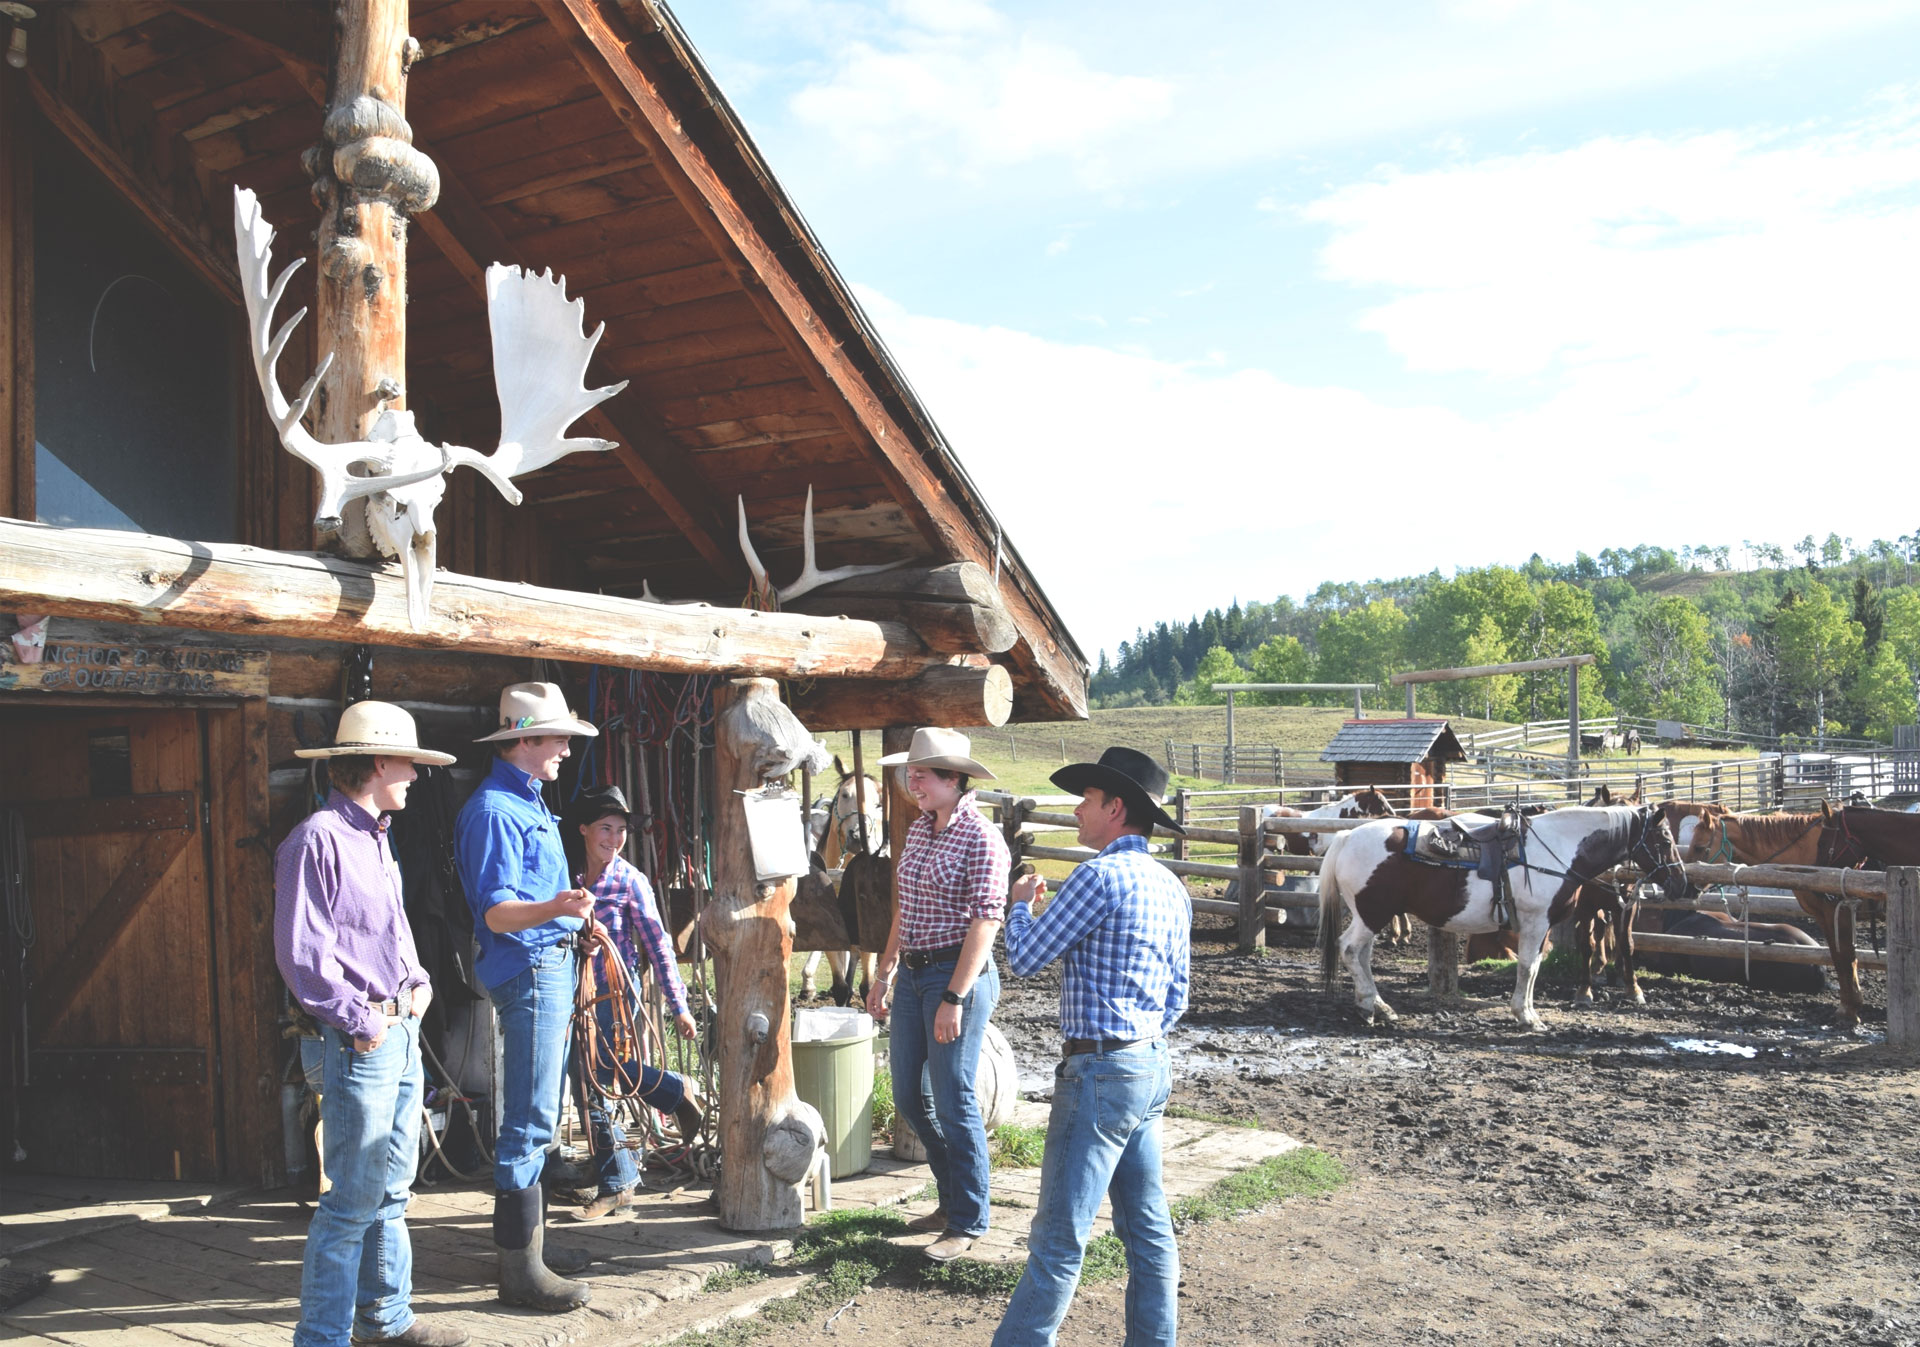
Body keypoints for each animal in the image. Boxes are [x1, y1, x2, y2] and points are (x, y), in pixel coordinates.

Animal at [1320, 802, 1697, 1036]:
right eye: (1664, 839)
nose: (1681, 883)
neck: (1556, 851)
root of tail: (1346, 837)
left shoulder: (1542, 926)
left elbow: (1534, 967)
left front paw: (1527, 1012)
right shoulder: (1535, 921)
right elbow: (1528, 967)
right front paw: (1527, 1017)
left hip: (1370, 915)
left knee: (1362, 955)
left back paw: (1376, 1006)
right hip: (1372, 913)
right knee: (1350, 950)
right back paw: (1371, 1007)